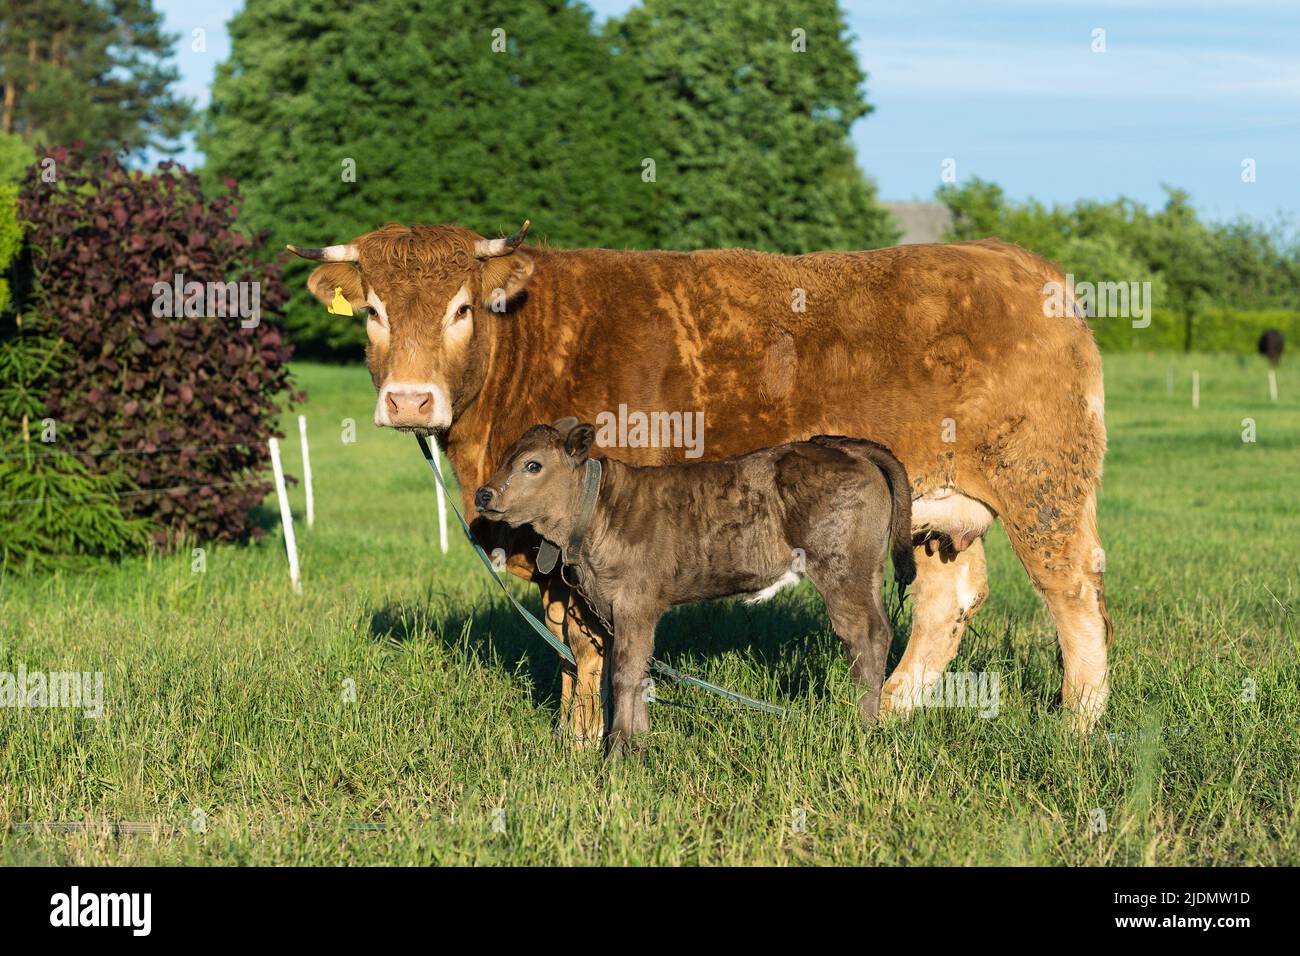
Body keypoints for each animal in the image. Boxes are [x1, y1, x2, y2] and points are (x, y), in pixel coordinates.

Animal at [289, 222, 1112, 738]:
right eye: (372, 312)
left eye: (462, 308)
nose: (410, 401)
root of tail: (1015, 260)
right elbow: (569, 641)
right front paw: (574, 734)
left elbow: (589, 642)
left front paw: (585, 743)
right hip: (937, 510)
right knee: (948, 603)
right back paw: (893, 710)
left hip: (1043, 485)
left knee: (1074, 595)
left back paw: (1079, 723)